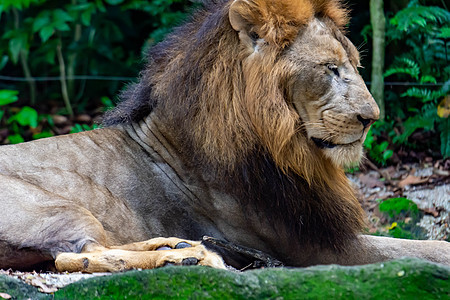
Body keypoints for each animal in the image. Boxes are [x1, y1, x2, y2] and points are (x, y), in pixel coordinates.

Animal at [0, 0, 450, 272]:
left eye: (356, 65)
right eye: (329, 68)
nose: (371, 118)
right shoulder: (316, 247)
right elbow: (425, 250)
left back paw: (174, 247)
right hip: (54, 207)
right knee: (74, 256)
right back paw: (192, 258)